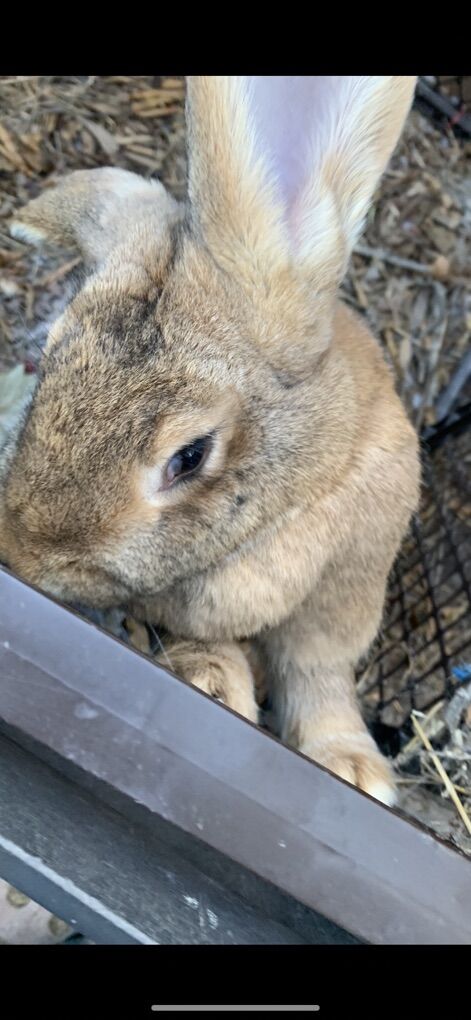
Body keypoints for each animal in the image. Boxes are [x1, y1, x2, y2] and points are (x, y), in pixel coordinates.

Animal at [0, 77, 421, 805]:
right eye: (46, 360)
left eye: (190, 456)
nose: (17, 557)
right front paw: (212, 685)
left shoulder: (347, 586)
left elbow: (319, 670)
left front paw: (353, 771)